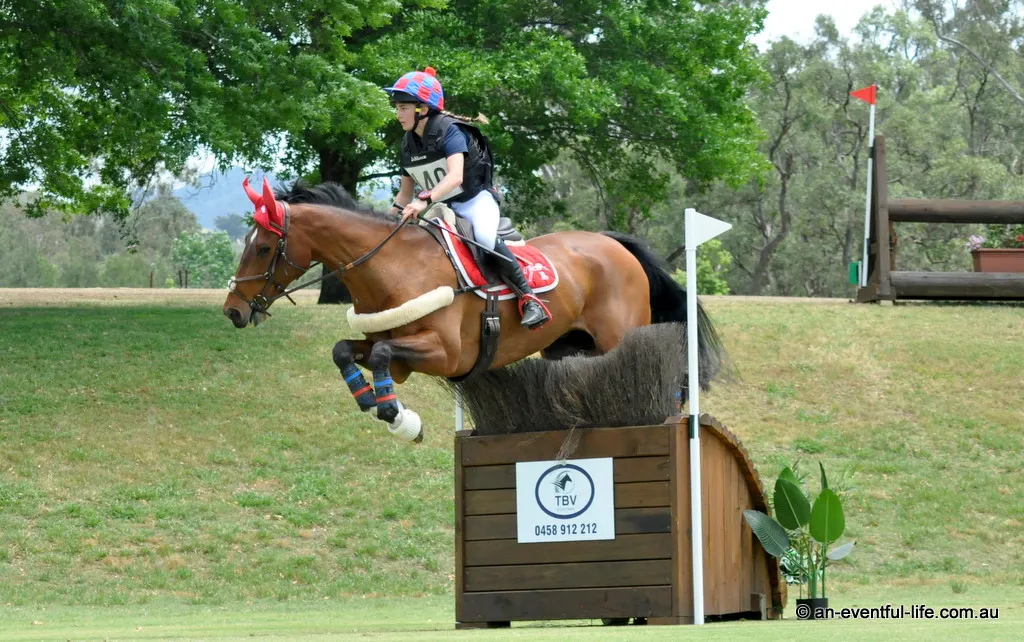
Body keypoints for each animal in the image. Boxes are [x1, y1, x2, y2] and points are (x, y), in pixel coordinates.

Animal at [222, 178, 727, 442]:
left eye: (263, 247)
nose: (233, 312)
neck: (391, 265)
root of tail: (614, 244)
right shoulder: (386, 340)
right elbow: (345, 350)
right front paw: (374, 402)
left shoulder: (446, 354)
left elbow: (382, 355)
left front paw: (396, 415)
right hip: (567, 346)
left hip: (619, 335)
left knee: (667, 376)